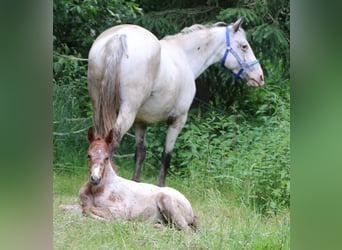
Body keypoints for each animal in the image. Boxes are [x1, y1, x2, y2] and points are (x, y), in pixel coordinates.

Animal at [60, 128, 199, 231]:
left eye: (106, 157)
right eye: (89, 155)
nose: (95, 178)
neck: (97, 190)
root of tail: (191, 209)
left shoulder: (120, 211)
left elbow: (87, 209)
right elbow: (65, 207)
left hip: (168, 203)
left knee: (186, 231)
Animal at [87, 16, 264, 187]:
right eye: (244, 46)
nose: (259, 77)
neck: (185, 56)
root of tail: (118, 37)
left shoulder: (141, 122)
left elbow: (140, 154)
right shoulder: (177, 120)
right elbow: (166, 156)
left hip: (100, 108)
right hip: (127, 111)